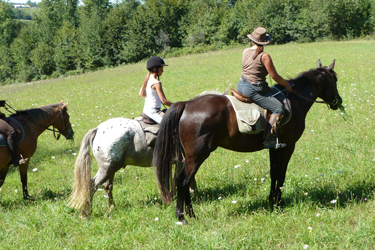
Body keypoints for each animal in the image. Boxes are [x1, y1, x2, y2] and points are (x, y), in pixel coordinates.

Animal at [153, 60, 344, 223]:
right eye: (334, 80)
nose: (338, 101)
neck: (295, 99)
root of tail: (186, 104)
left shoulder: (274, 147)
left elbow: (274, 173)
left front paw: (272, 202)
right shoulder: (288, 146)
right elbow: (281, 174)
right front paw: (279, 204)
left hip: (189, 157)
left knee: (185, 181)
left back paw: (191, 214)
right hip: (197, 155)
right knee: (182, 181)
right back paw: (182, 216)